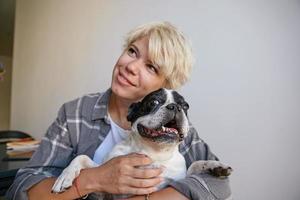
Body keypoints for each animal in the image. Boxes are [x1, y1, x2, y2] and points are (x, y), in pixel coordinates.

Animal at [51, 88, 232, 198]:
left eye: (185, 106)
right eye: (154, 102)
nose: (175, 107)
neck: (154, 152)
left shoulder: (177, 181)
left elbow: (194, 165)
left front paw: (214, 166)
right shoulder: (103, 192)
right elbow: (81, 157)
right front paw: (65, 176)